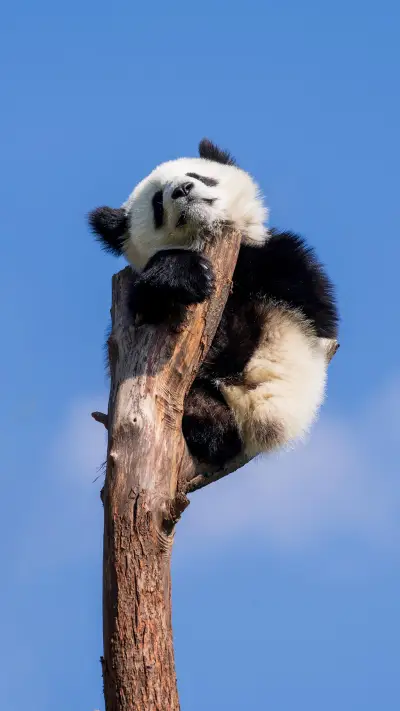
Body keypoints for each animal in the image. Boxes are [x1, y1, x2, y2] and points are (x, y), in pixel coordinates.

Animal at [89, 138, 338, 467]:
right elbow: (143, 314)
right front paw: (183, 276)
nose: (182, 189)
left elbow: (310, 304)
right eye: (157, 203)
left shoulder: (280, 258)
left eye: (199, 175)